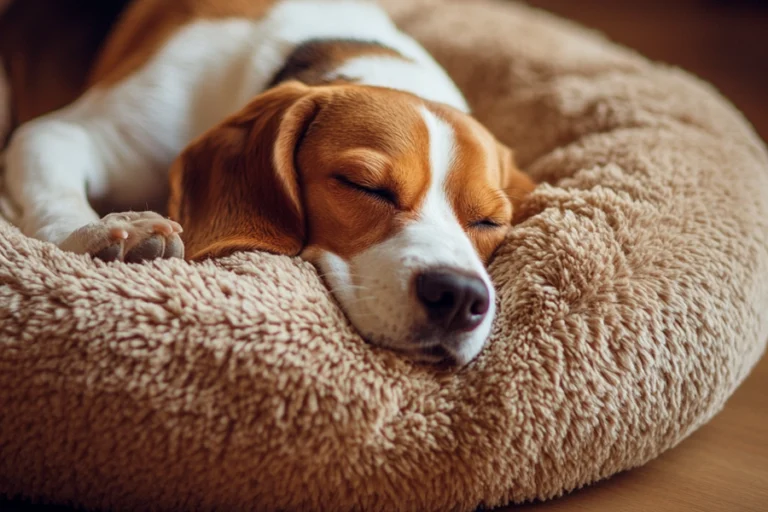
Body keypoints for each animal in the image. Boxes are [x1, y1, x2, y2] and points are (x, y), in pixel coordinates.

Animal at [0, 1, 536, 368]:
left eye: (489, 221)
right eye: (363, 186)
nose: (459, 296)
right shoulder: (58, 134)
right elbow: (57, 197)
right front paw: (105, 234)